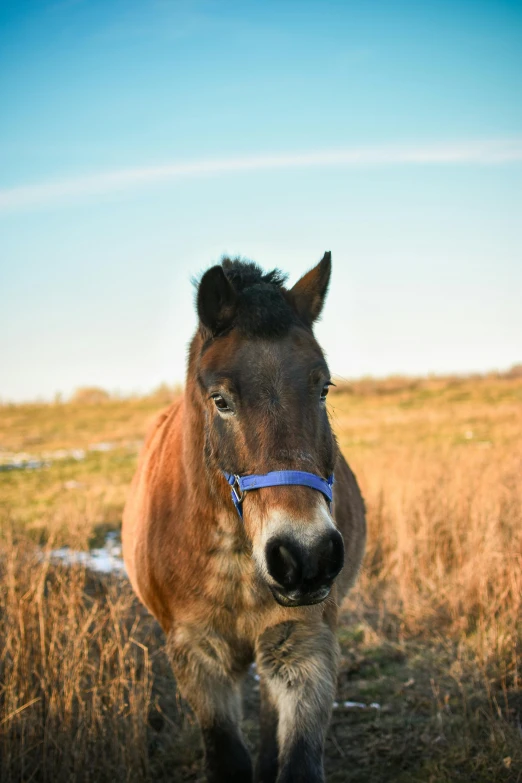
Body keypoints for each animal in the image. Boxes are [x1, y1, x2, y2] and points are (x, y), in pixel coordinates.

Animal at [122, 253, 366, 783]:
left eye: (323, 388)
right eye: (221, 400)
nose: (307, 556)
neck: (236, 559)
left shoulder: (306, 646)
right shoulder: (198, 657)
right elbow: (226, 758)